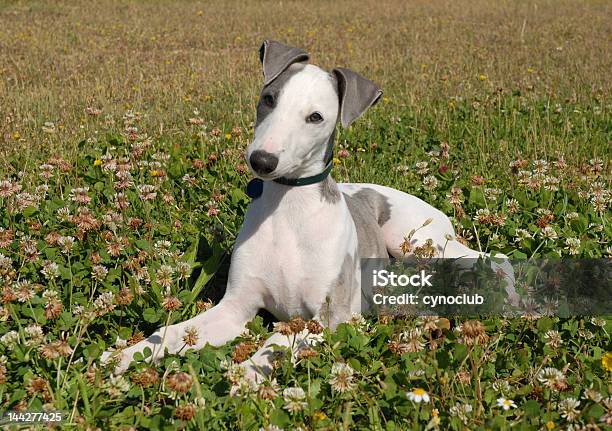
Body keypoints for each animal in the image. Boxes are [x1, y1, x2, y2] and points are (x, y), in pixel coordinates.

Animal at [106, 41, 516, 382]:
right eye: (269, 98)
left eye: (316, 117)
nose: (262, 161)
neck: (289, 208)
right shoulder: (236, 307)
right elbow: (172, 332)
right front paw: (123, 357)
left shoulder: (327, 318)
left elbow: (273, 344)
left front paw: (245, 375)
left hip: (418, 242)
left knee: (495, 258)